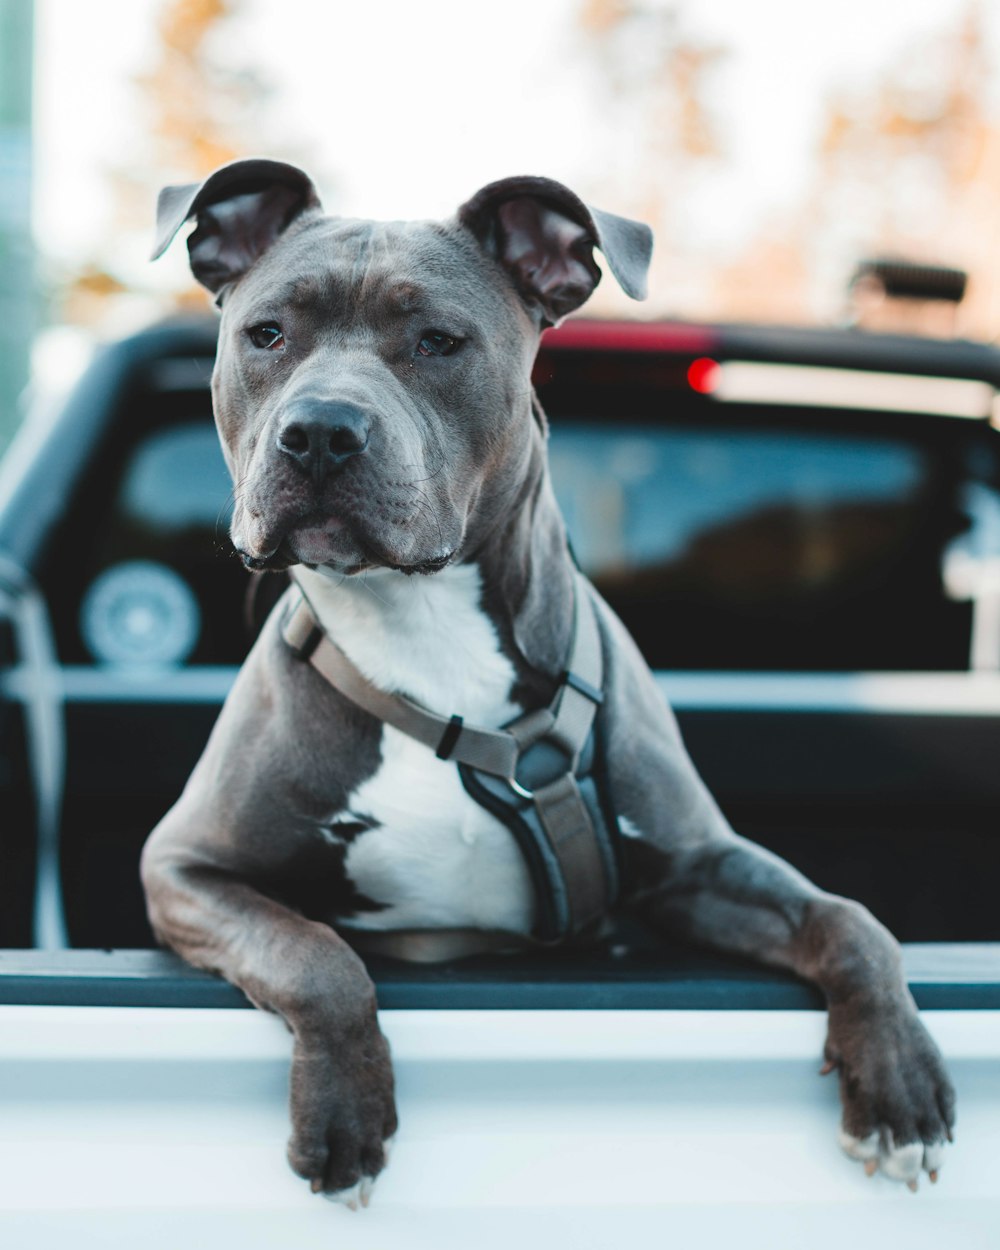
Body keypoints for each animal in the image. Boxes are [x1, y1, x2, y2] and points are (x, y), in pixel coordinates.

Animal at [140, 156, 955, 1200]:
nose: (320, 430)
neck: (421, 626)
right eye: (267, 334)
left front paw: (899, 1087)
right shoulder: (185, 868)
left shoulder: (703, 868)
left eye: (438, 341)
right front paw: (344, 1115)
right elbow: (313, 952)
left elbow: (849, 920)